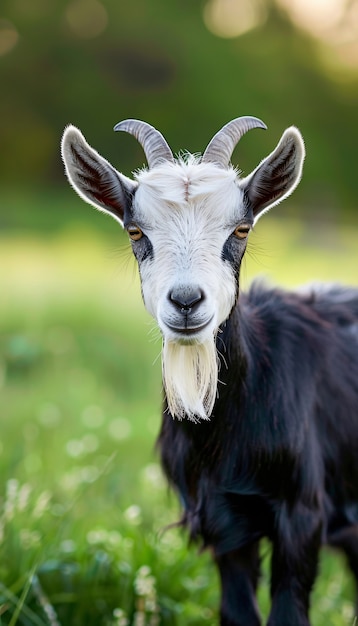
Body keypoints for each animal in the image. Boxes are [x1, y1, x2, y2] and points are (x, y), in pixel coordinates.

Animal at [60, 118, 358, 624]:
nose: (186, 301)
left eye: (240, 228)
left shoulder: (302, 516)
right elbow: (237, 612)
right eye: (136, 231)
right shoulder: (222, 521)